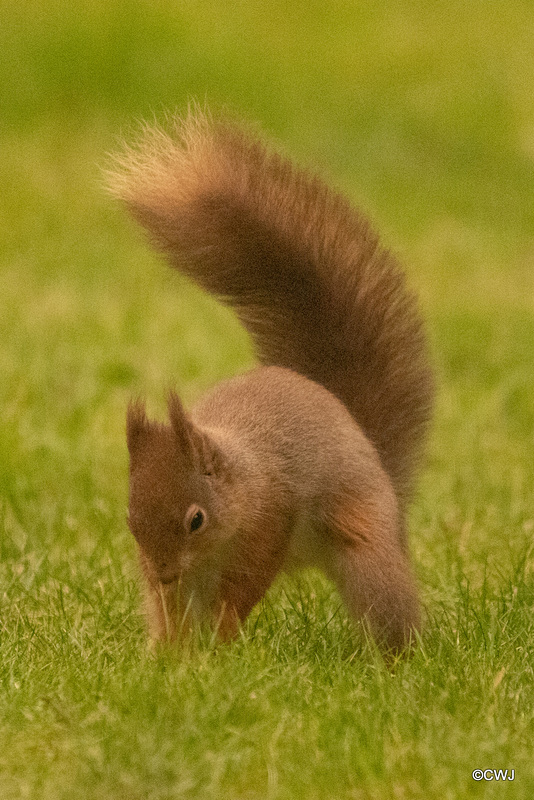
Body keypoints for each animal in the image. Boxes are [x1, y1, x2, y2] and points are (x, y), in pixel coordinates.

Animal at [109, 108, 436, 656]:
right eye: (130, 519)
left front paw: (220, 646)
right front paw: (166, 656)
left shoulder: (269, 523)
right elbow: (169, 612)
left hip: (366, 548)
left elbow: (241, 592)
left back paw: (393, 658)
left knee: (385, 601)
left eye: (196, 519)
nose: (165, 572)